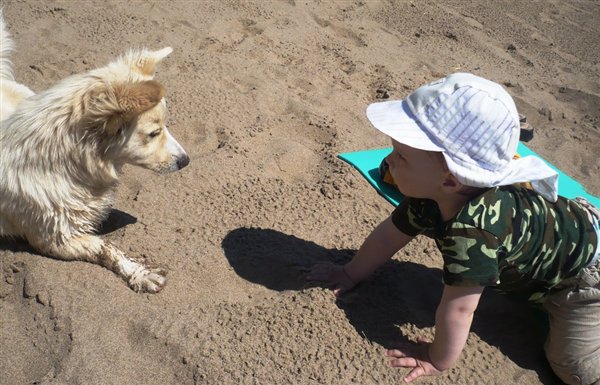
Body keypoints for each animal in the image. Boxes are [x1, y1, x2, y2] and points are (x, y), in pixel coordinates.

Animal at [0, 13, 190, 292]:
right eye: (154, 133)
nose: (186, 160)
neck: (64, 165)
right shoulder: (55, 239)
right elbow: (106, 247)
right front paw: (140, 273)